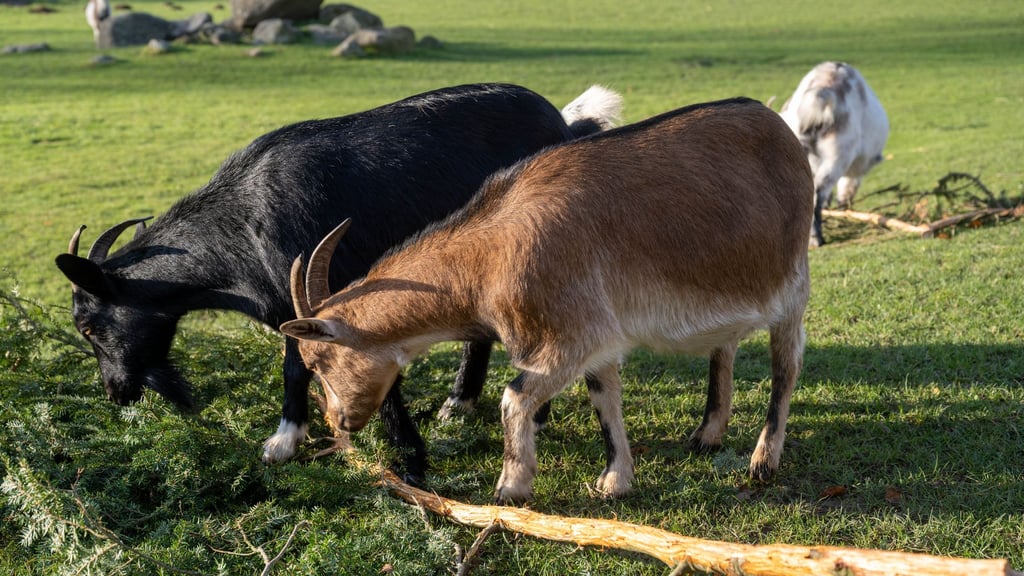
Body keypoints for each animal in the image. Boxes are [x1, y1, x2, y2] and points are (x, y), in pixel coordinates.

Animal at [54, 83, 622, 482]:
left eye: (89, 327)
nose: (116, 392)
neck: (242, 225)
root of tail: (564, 124)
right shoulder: (294, 306)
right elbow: (297, 368)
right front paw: (289, 440)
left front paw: (407, 460)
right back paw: (459, 405)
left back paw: (531, 413)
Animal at [280, 97, 814, 503]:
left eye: (320, 358)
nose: (341, 421)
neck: (488, 256)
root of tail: (779, 128)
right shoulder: (596, 336)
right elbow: (604, 399)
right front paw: (615, 481)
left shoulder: (569, 333)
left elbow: (514, 397)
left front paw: (510, 488)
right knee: (724, 348)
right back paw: (708, 434)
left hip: (792, 285)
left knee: (786, 367)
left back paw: (763, 460)